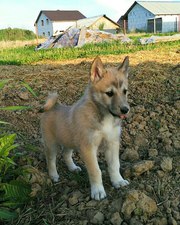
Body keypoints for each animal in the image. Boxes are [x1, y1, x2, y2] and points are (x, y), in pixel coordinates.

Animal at [40, 55, 130, 200]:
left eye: (125, 91)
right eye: (109, 93)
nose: (125, 110)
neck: (104, 117)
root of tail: (54, 106)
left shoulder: (112, 143)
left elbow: (115, 165)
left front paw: (118, 181)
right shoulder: (88, 147)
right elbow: (95, 170)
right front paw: (98, 191)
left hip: (69, 141)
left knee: (66, 154)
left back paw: (73, 168)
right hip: (51, 144)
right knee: (51, 159)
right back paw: (53, 175)